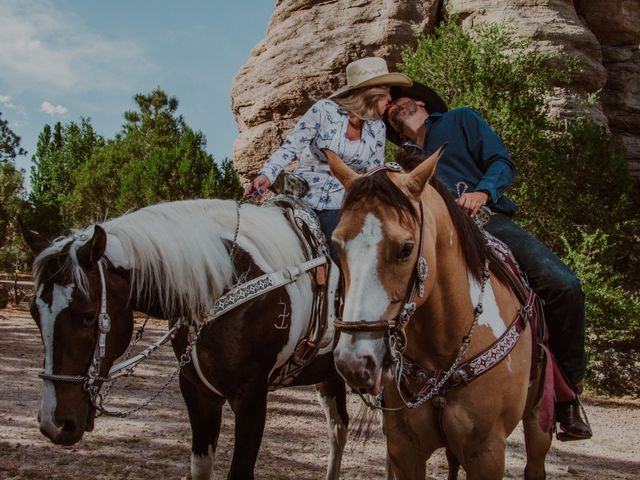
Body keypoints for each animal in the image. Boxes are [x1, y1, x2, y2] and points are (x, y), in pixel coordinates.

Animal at [21, 199, 350, 480]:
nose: (54, 424)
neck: (222, 283)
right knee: (338, 428)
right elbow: (199, 468)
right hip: (330, 377)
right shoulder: (197, 391)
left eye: (88, 316)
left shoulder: (252, 397)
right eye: (35, 313)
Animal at [324, 147, 552, 480]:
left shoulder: (487, 453)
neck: (444, 350)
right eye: (337, 244)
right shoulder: (404, 449)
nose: (353, 362)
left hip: (538, 422)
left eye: (406, 249)